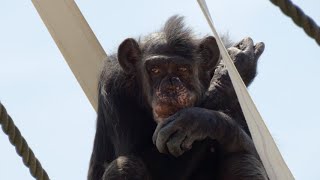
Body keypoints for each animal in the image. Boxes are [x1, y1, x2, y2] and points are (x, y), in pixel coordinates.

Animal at [87, 15, 268, 180]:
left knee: (243, 159)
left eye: (182, 69)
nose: (170, 84)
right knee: (125, 165)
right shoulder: (113, 87)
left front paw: (194, 121)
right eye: (155, 70)